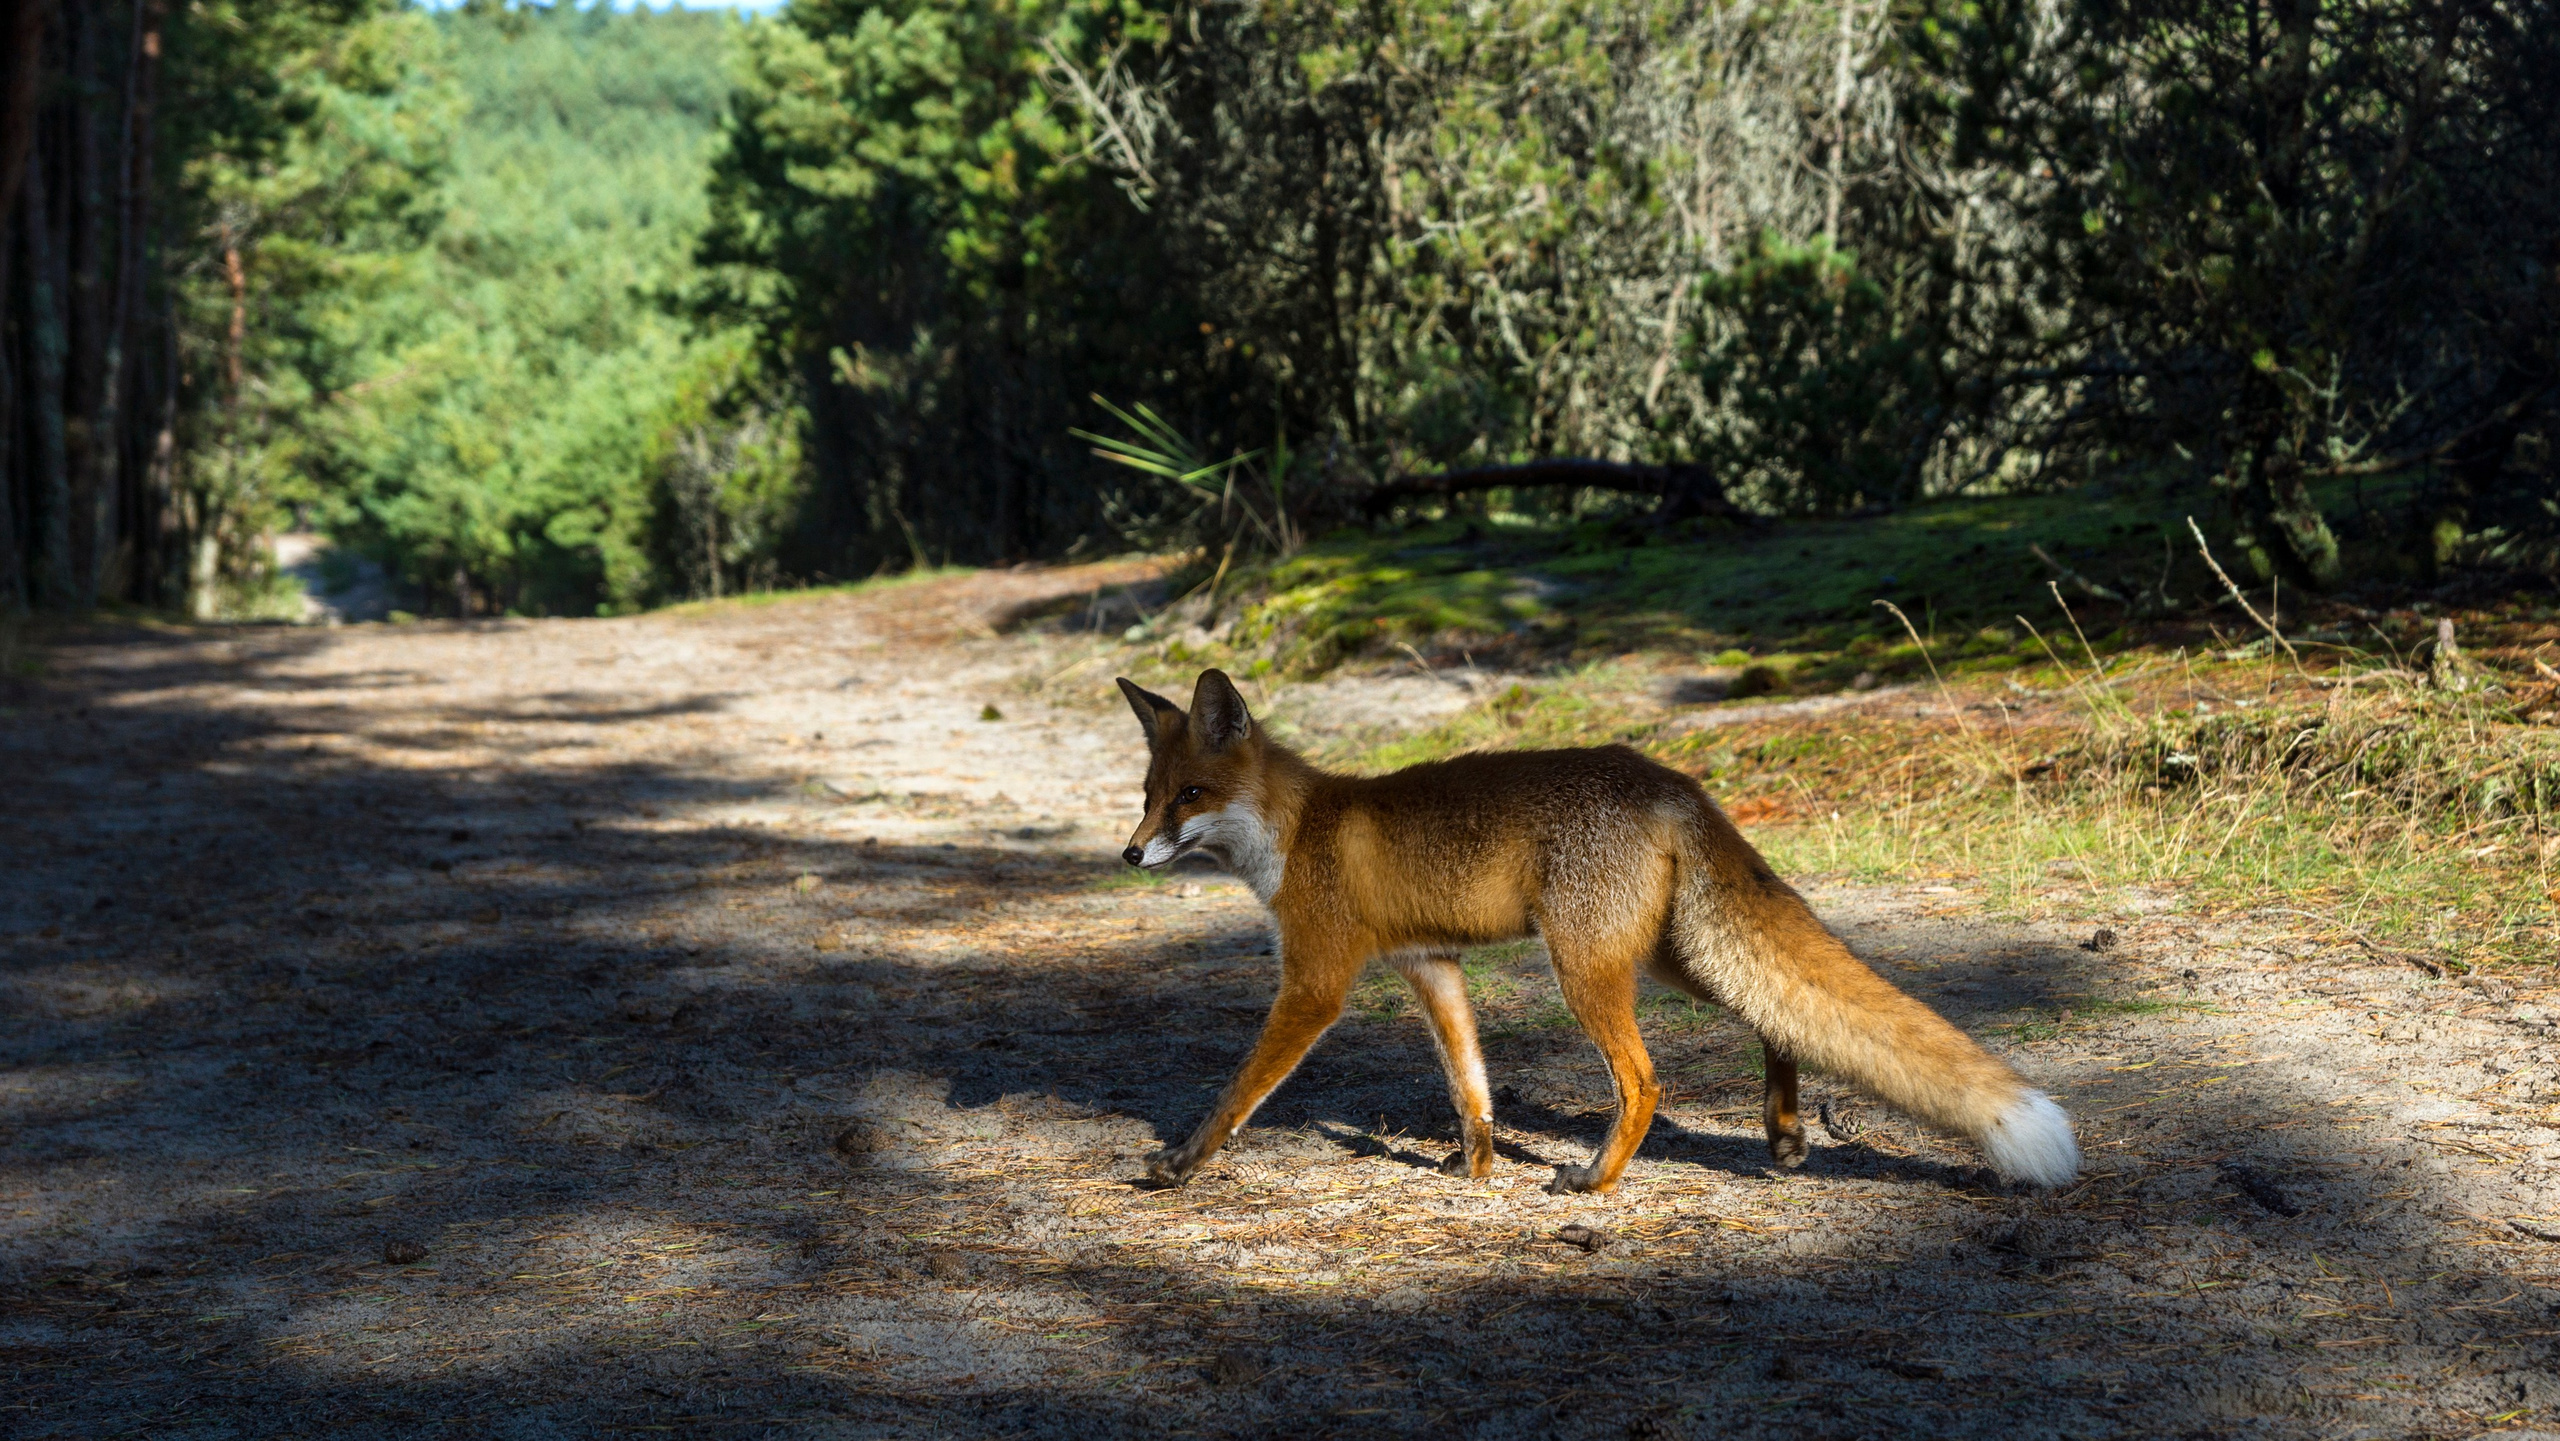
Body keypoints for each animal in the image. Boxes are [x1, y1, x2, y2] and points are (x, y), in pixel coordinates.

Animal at [1113, 667, 2079, 1196]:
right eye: (1148, 795)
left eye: (1190, 795)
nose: (1127, 852)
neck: (1297, 827)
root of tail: (1667, 776)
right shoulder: (1431, 964)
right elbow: (1471, 1086)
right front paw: (1475, 1169)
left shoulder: (1316, 982)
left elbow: (1238, 1094)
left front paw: (1182, 1164)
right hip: (1670, 957)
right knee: (1774, 1016)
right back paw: (1783, 1131)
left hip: (1585, 968)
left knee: (1646, 1081)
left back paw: (1597, 1180)